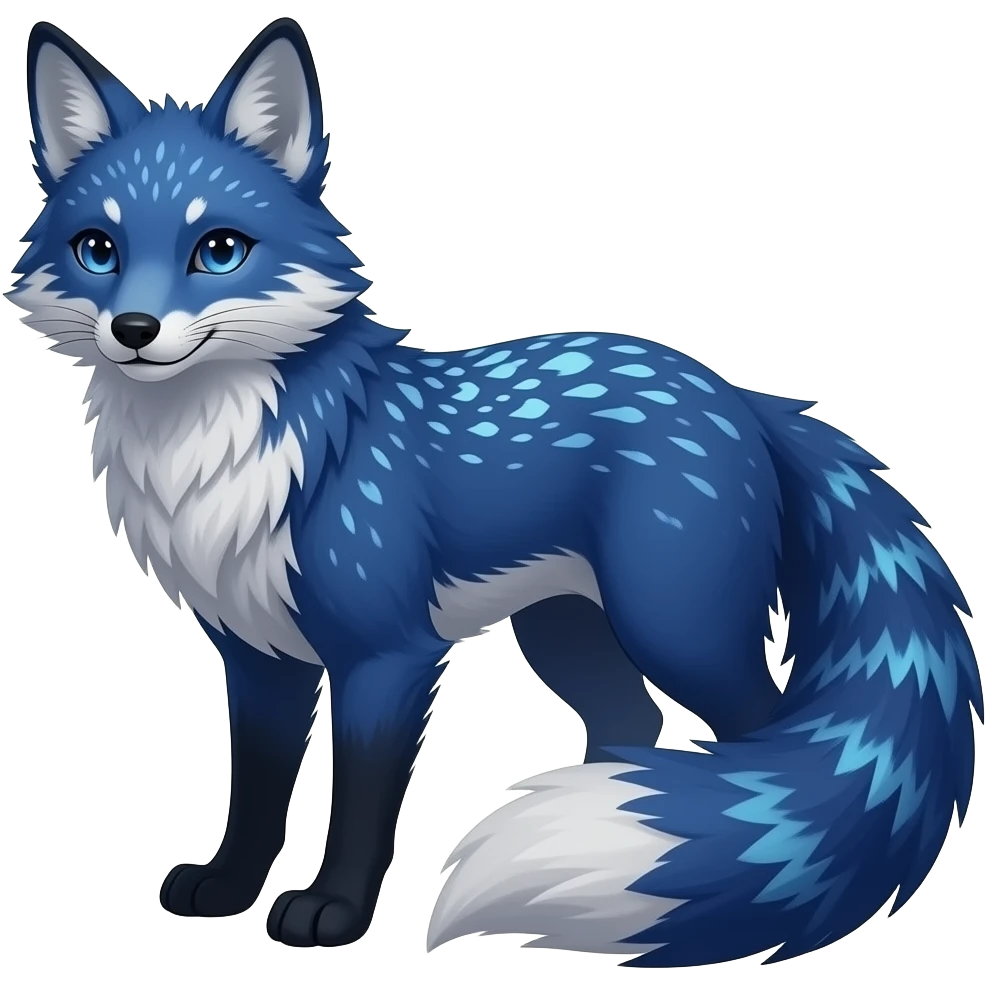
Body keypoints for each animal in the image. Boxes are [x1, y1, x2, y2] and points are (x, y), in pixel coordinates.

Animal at [8, 16, 982, 967]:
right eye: (98, 250)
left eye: (218, 250)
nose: (135, 330)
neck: (224, 461)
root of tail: (739, 395)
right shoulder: (258, 656)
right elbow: (253, 791)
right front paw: (226, 889)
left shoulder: (387, 656)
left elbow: (360, 803)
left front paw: (333, 912)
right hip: (565, 632)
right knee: (637, 730)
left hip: (679, 631)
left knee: (765, 746)